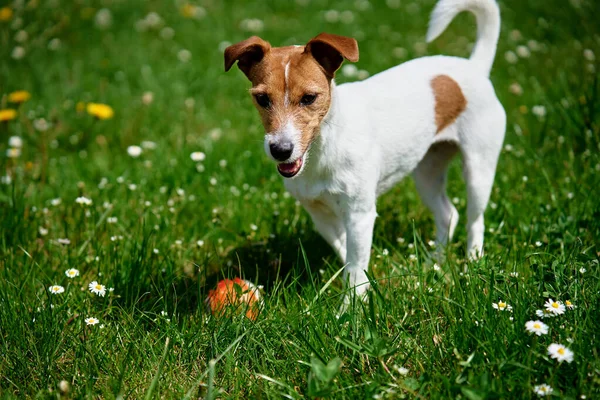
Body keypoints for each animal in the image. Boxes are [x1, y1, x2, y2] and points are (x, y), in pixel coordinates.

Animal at [225, 0, 506, 300]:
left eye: (309, 98)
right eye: (262, 99)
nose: (280, 149)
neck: (323, 150)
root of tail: (474, 67)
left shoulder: (360, 214)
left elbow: (355, 265)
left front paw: (351, 305)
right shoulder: (320, 215)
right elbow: (348, 255)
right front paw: (363, 286)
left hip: (478, 169)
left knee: (475, 220)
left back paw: (473, 261)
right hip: (427, 172)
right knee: (447, 214)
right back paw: (435, 261)